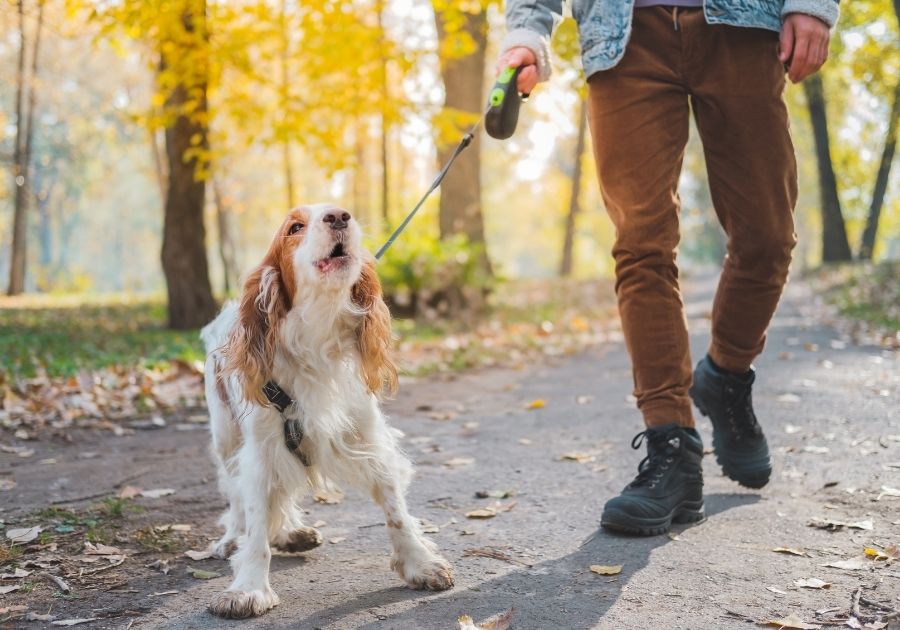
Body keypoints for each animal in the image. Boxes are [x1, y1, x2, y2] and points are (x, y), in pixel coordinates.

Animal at [200, 205, 454, 620]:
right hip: (226, 437)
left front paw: (420, 562)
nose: (339, 216)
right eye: (294, 227)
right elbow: (255, 523)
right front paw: (248, 588)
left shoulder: (368, 437)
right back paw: (232, 538)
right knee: (235, 495)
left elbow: (396, 509)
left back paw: (291, 532)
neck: (317, 337)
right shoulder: (260, 451)